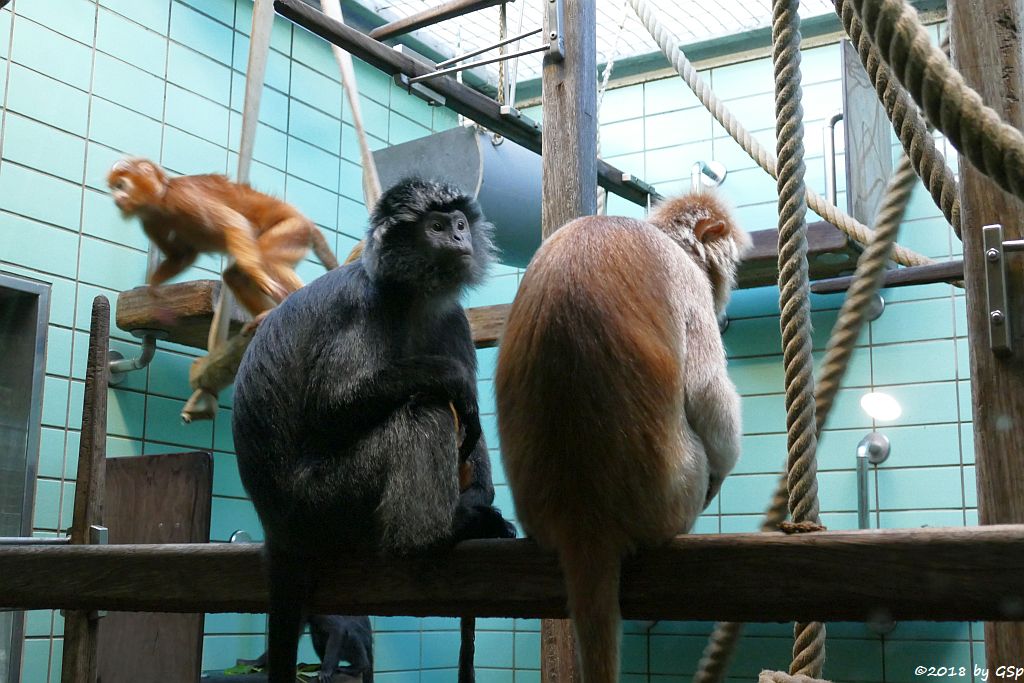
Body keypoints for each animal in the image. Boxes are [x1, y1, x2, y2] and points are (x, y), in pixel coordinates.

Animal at [234, 178, 516, 683]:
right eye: (436, 226)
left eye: (460, 224)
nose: (458, 237)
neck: (411, 296)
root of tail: (275, 526)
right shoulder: (359, 306)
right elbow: (329, 408)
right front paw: (451, 379)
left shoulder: (453, 317)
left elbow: (473, 429)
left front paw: (481, 493)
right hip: (322, 501)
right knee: (426, 409)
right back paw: (435, 534)